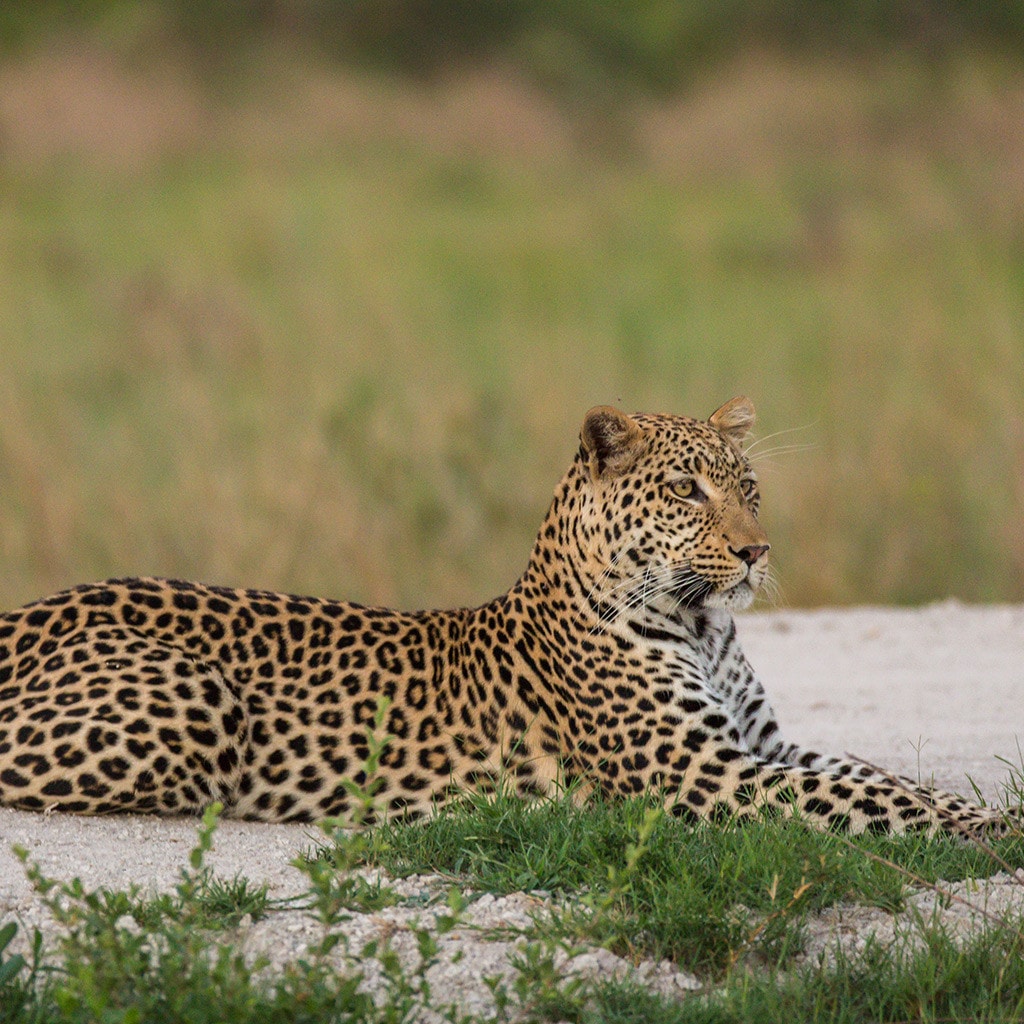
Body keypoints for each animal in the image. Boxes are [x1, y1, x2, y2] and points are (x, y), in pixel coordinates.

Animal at [0, 398, 1011, 835]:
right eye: (688, 490)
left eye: (749, 487)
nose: (759, 552)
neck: (706, 628)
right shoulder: (702, 773)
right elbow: (865, 797)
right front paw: (994, 834)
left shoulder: (761, 747)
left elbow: (875, 774)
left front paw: (979, 809)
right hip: (195, 701)